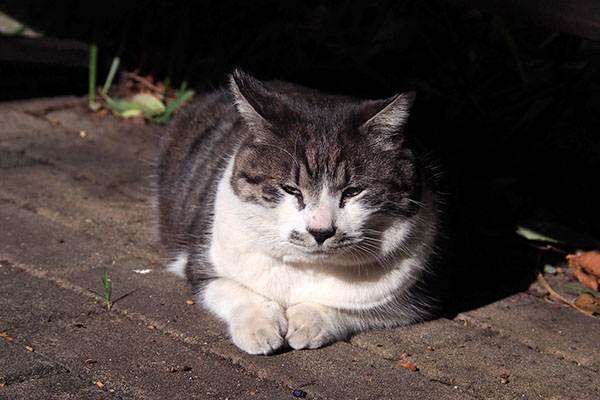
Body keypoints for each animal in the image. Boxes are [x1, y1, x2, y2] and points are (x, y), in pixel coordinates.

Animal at [155, 70, 438, 354]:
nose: (320, 231)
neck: (307, 270)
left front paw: (309, 323)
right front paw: (260, 328)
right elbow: (234, 289)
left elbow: (351, 309)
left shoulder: (407, 301)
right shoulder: (201, 265)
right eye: (291, 189)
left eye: (352, 192)